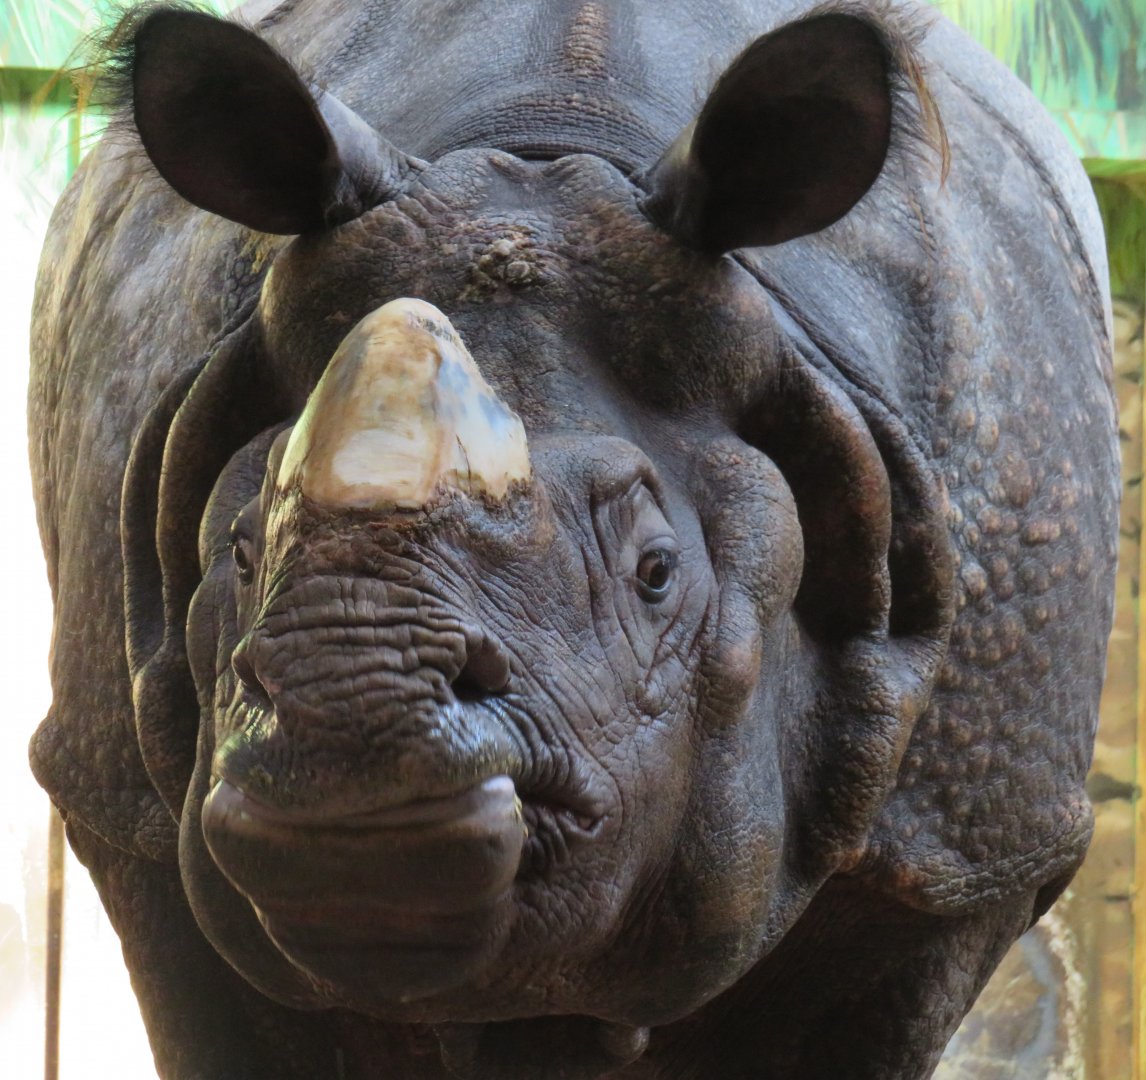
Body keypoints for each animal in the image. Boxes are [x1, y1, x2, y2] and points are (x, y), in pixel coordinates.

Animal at [28, 0, 1118, 1077]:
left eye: (655, 573)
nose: (351, 726)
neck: (554, 140)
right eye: (242, 550)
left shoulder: (958, 863)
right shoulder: (123, 813)